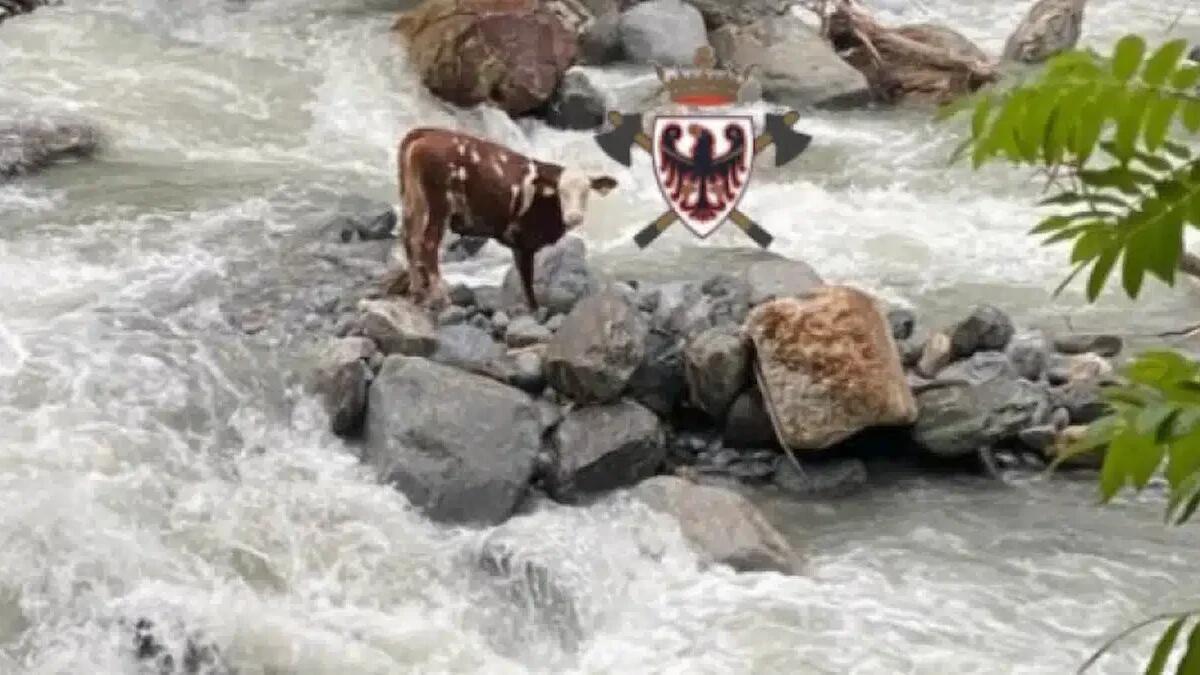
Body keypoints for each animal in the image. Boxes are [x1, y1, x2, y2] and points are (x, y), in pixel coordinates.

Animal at [396, 127, 618, 311]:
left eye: (586, 192)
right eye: (560, 191)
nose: (574, 216)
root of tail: (425, 133)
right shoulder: (524, 240)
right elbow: (527, 278)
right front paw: (533, 307)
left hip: (412, 201)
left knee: (410, 239)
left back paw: (417, 290)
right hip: (439, 204)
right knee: (428, 243)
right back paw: (440, 296)